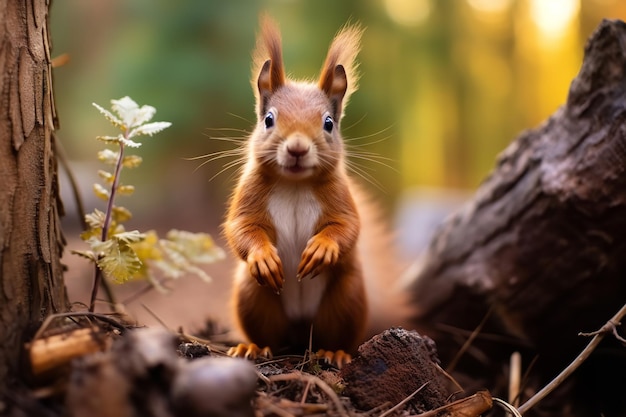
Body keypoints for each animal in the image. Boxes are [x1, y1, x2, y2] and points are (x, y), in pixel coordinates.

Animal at [222, 17, 402, 364]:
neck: (294, 184)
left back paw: (333, 352)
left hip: (346, 298)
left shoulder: (341, 197)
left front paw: (322, 248)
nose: (297, 149)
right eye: (268, 119)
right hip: (252, 295)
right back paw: (253, 347)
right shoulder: (249, 195)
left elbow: (348, 227)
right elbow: (241, 228)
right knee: (269, 335)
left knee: (334, 334)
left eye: (328, 123)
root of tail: (299, 329)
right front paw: (263, 256)